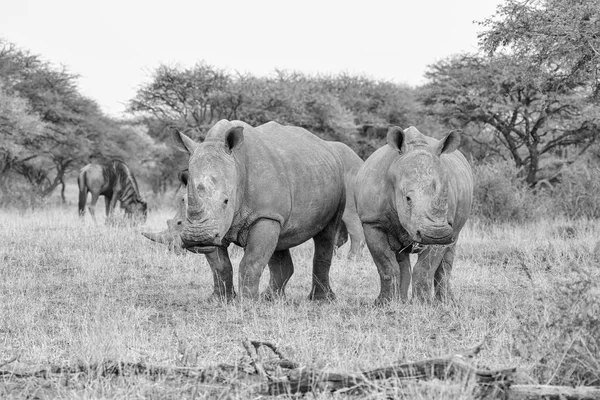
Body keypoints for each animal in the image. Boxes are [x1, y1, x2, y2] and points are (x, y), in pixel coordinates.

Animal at [170, 120, 346, 302]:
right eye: (183, 201)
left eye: (226, 201)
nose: (197, 237)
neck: (237, 164)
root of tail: (327, 146)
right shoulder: (218, 226)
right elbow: (219, 265)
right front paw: (220, 299)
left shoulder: (264, 215)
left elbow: (252, 260)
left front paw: (247, 302)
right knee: (279, 242)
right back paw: (271, 298)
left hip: (337, 183)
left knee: (326, 234)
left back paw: (320, 300)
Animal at [354, 125, 472, 304]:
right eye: (407, 199)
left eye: (445, 198)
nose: (437, 234)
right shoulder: (372, 221)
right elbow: (386, 265)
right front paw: (383, 304)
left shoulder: (444, 226)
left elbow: (425, 268)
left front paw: (423, 304)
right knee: (400, 258)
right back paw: (402, 301)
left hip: (453, 228)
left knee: (449, 251)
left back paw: (445, 302)